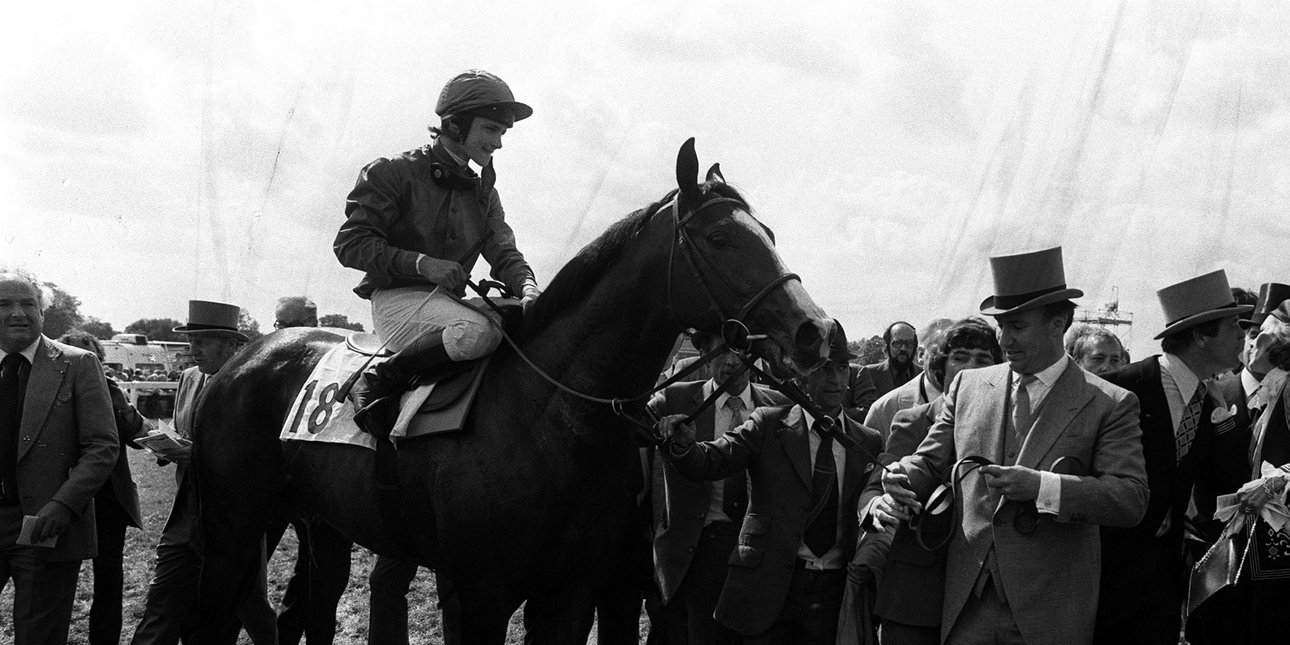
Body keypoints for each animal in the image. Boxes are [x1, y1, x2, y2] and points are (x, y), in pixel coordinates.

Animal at [191, 139, 833, 644]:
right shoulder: (481, 589)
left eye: (768, 233)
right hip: (233, 524)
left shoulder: (571, 589)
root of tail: (244, 359)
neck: (550, 416)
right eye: (721, 237)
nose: (816, 330)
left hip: (321, 524)